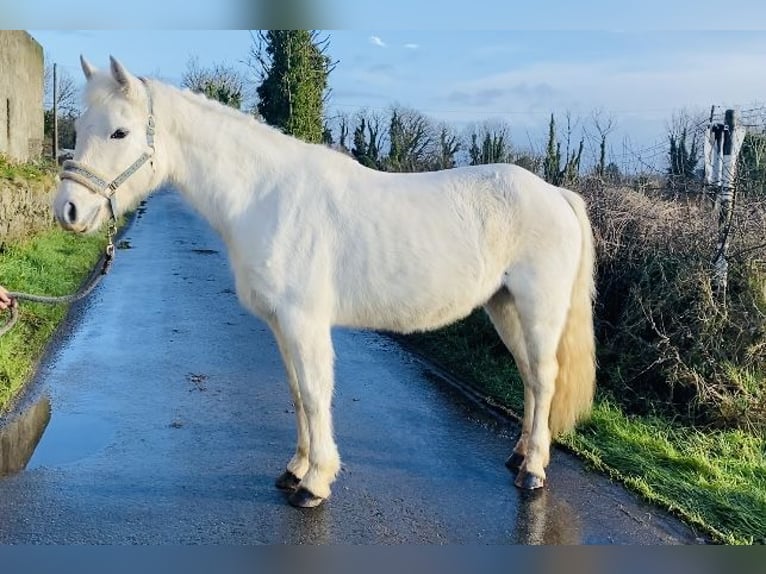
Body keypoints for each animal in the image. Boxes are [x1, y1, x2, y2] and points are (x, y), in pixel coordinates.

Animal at [54, 56, 596, 510]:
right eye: (78, 128)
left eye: (120, 132)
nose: (69, 211)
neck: (265, 197)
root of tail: (555, 193)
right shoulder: (280, 324)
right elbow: (297, 392)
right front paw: (295, 470)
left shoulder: (304, 321)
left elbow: (316, 394)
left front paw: (315, 484)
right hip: (503, 306)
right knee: (529, 378)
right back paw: (519, 455)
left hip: (537, 308)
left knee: (543, 378)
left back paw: (532, 471)